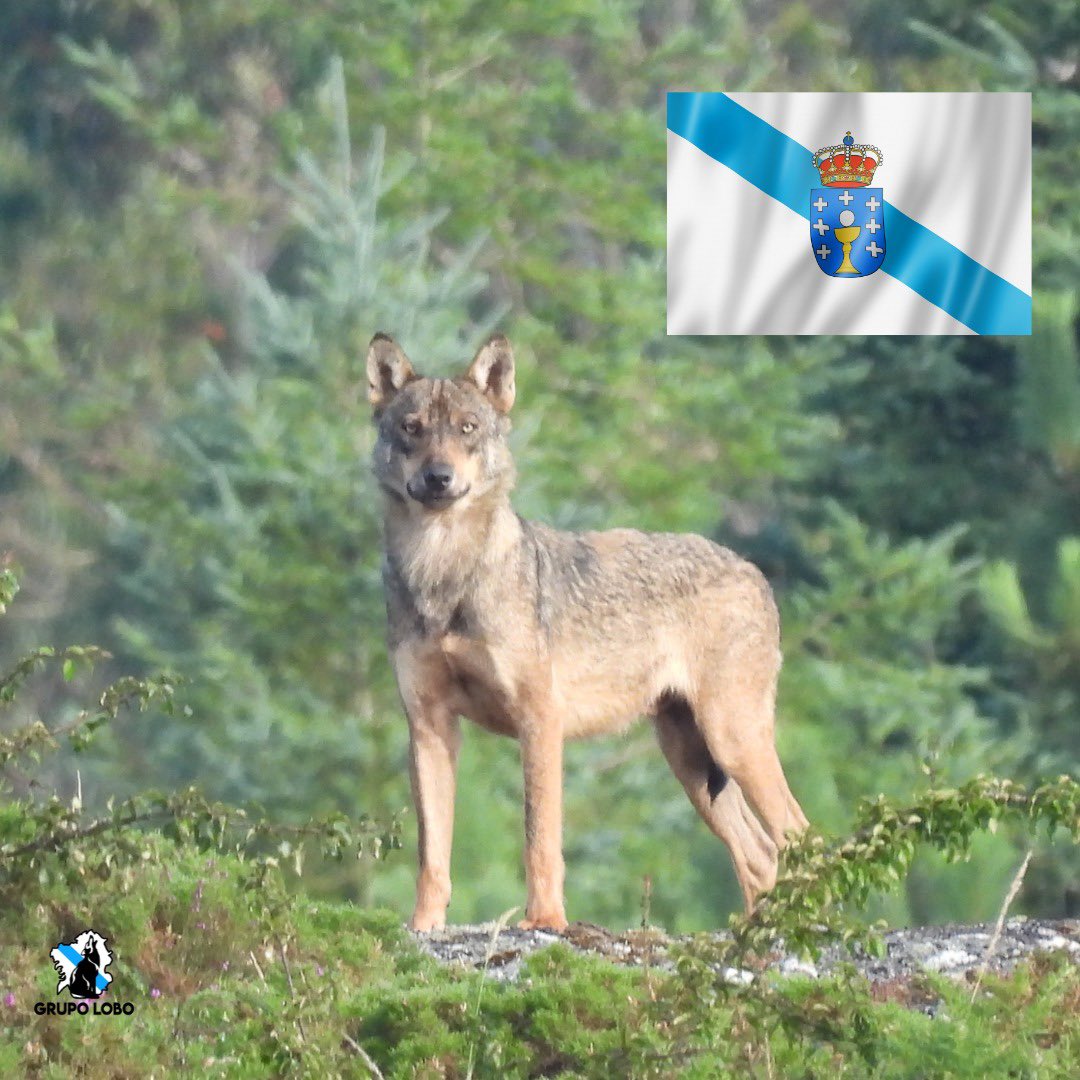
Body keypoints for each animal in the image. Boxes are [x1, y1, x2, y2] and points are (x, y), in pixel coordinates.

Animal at [367, 332, 809, 932]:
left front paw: (546, 921)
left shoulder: (540, 720)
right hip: (692, 762)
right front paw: (424, 926)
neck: (444, 576)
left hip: (732, 740)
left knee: (797, 834)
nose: (439, 478)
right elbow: (432, 851)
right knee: (762, 856)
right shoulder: (429, 725)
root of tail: (753, 570)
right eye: (412, 428)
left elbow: (539, 837)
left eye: (467, 428)